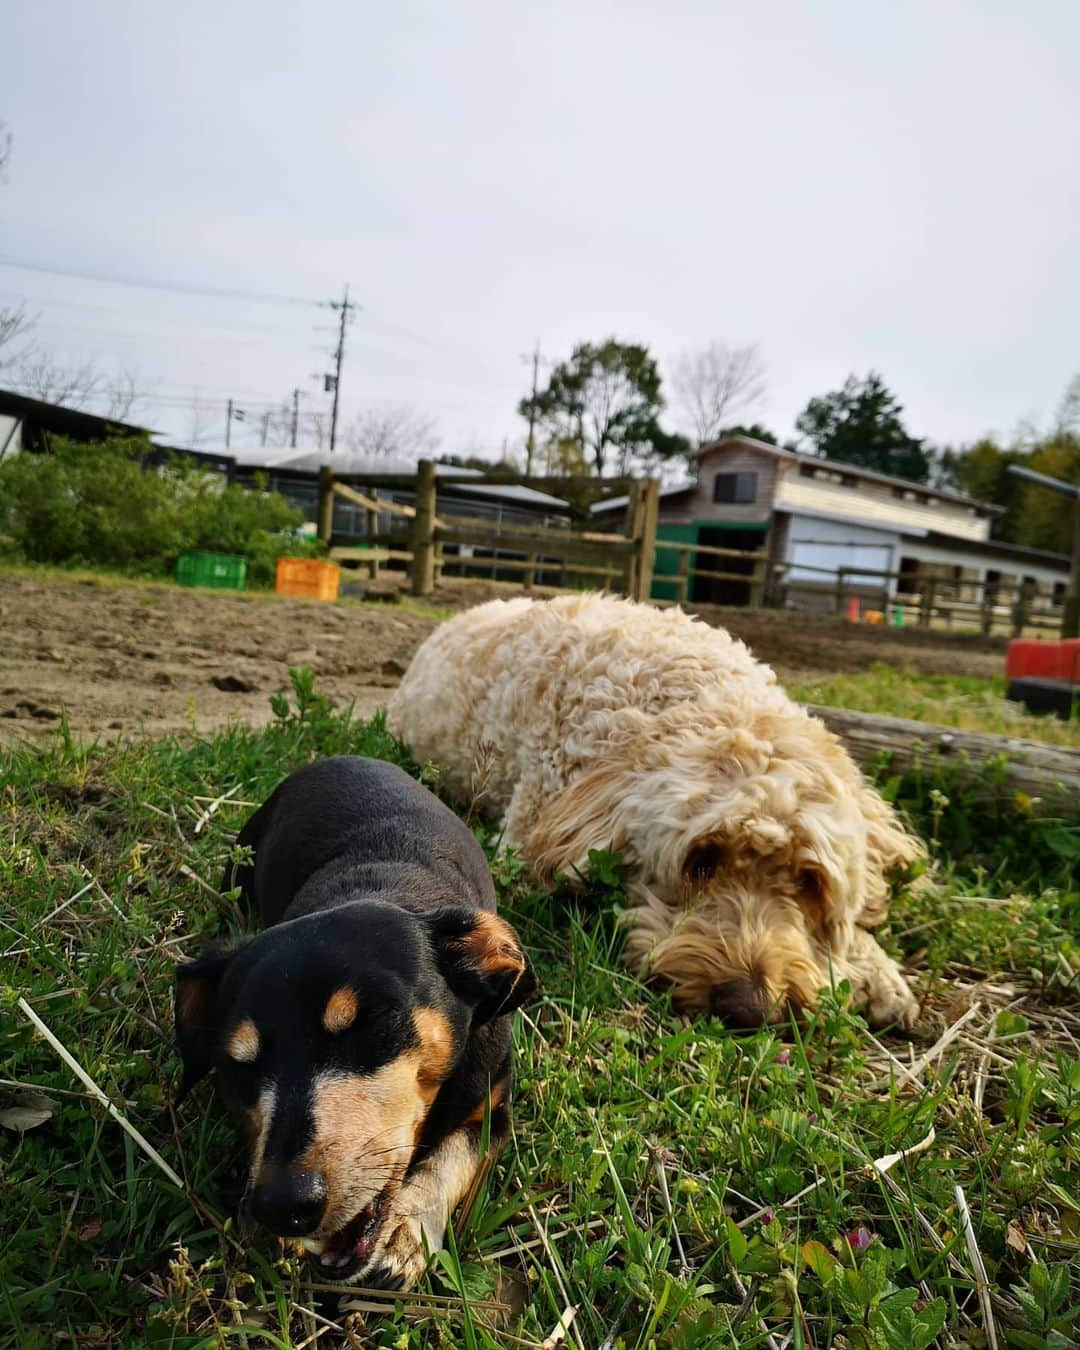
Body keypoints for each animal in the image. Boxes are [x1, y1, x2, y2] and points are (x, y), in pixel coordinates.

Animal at [174, 756, 540, 1290]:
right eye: (236, 1065)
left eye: (376, 1023)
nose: (282, 1206)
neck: (380, 884)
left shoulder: (492, 1110)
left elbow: (449, 1162)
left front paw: (406, 1235)